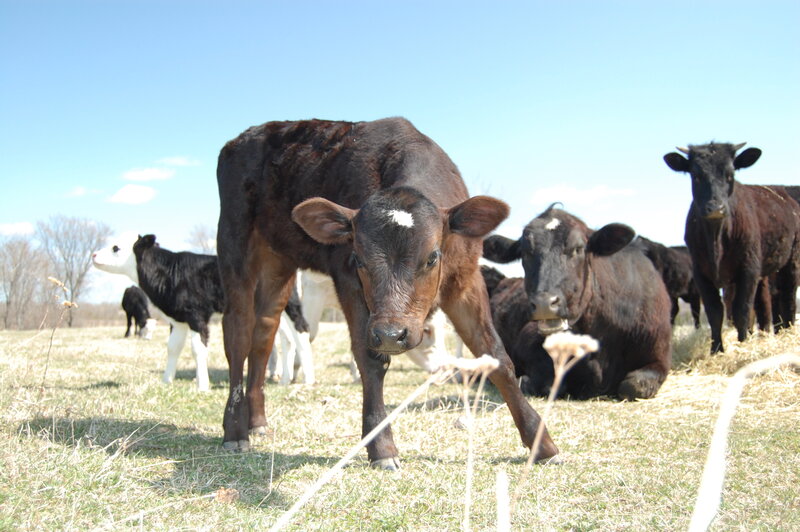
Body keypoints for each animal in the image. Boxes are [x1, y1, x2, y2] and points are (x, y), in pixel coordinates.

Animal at [215, 117, 557, 469]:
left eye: (432, 257)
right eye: (359, 259)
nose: (392, 334)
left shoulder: (465, 279)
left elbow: (495, 354)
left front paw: (540, 441)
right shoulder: (348, 282)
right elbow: (369, 359)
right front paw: (381, 446)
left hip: (279, 263)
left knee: (263, 334)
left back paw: (257, 421)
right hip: (235, 244)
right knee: (238, 333)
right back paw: (236, 429)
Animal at [483, 205, 672, 400]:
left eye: (578, 248)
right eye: (525, 253)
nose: (544, 304)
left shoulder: (659, 357)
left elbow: (632, 386)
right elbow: (550, 383)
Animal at [664, 143, 800, 353]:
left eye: (730, 175)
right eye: (696, 176)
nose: (715, 208)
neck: (716, 239)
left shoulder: (748, 269)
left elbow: (741, 309)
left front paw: (742, 343)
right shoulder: (701, 274)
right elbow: (715, 312)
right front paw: (716, 349)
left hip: (791, 261)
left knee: (787, 296)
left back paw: (788, 329)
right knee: (764, 303)